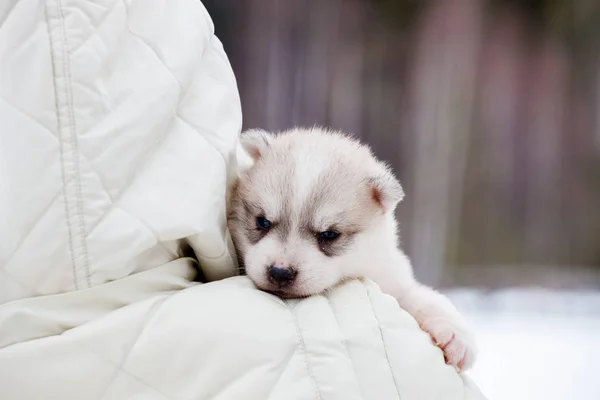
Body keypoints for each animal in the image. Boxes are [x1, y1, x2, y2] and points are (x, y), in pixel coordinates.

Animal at [229, 126, 478, 370]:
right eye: (262, 222)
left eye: (329, 234)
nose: (280, 272)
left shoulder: (391, 279)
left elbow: (420, 297)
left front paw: (454, 333)